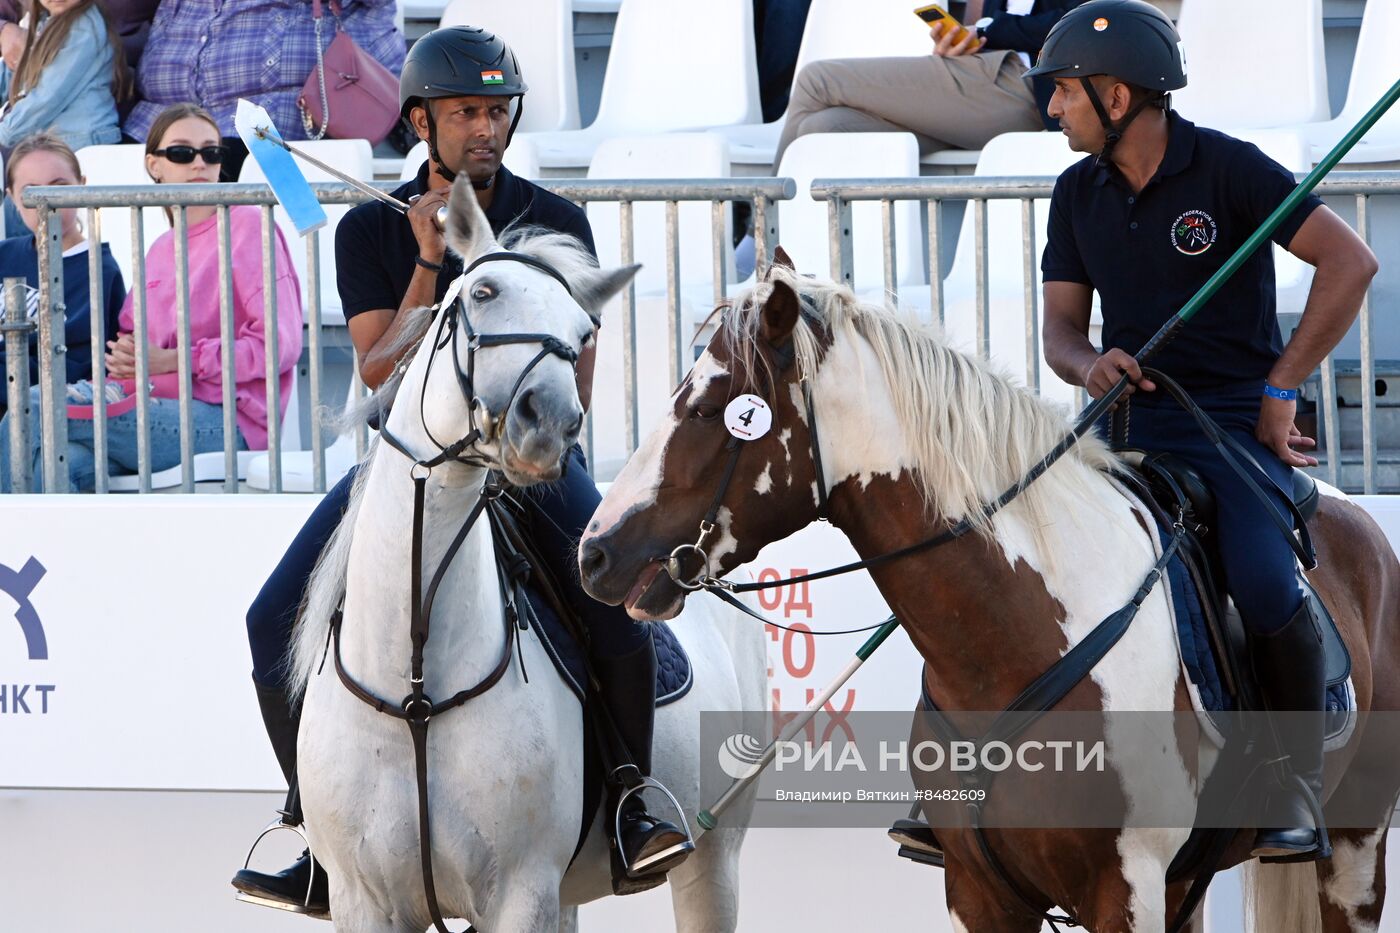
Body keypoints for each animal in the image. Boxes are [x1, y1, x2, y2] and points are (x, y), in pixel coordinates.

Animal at [287, 176, 767, 930]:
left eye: (583, 333)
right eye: (482, 294)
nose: (548, 423)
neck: (416, 686)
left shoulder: (519, 892)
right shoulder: (364, 901)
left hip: (712, 857)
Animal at [576, 263, 1400, 930]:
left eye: (713, 409)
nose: (594, 552)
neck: (1014, 635)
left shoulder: (1126, 886)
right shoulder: (982, 893)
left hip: (1354, 850)